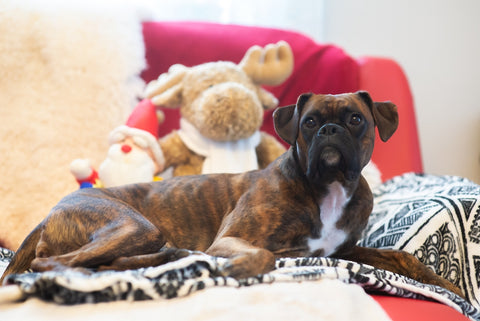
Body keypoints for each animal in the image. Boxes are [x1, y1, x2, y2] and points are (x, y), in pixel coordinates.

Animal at [0, 91, 464, 296]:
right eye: (310, 122)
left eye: (355, 119)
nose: (330, 131)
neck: (326, 188)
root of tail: (52, 209)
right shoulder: (232, 239)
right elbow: (262, 255)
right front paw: (238, 269)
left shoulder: (344, 250)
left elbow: (403, 258)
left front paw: (451, 288)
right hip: (135, 225)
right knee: (53, 263)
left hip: (139, 236)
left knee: (110, 261)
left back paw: (174, 257)